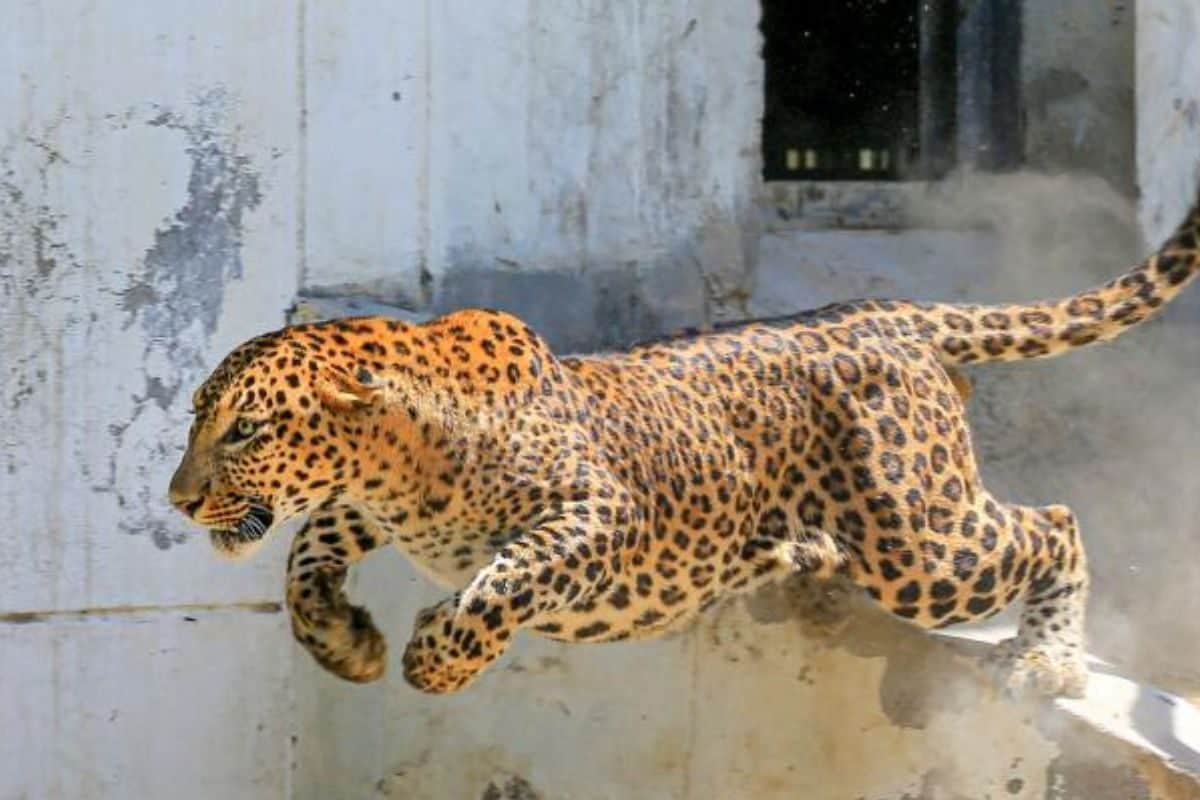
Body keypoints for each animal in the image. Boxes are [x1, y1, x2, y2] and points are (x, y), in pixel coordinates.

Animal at [168, 189, 1200, 698]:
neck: (401, 461)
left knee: (1052, 523)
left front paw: (436, 658)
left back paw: (1049, 658)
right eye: (194, 420)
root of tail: (888, 312)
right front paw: (344, 642)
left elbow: (504, 580)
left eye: (246, 429)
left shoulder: (601, 515)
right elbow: (305, 552)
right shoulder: (365, 509)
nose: (179, 500)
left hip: (921, 545)